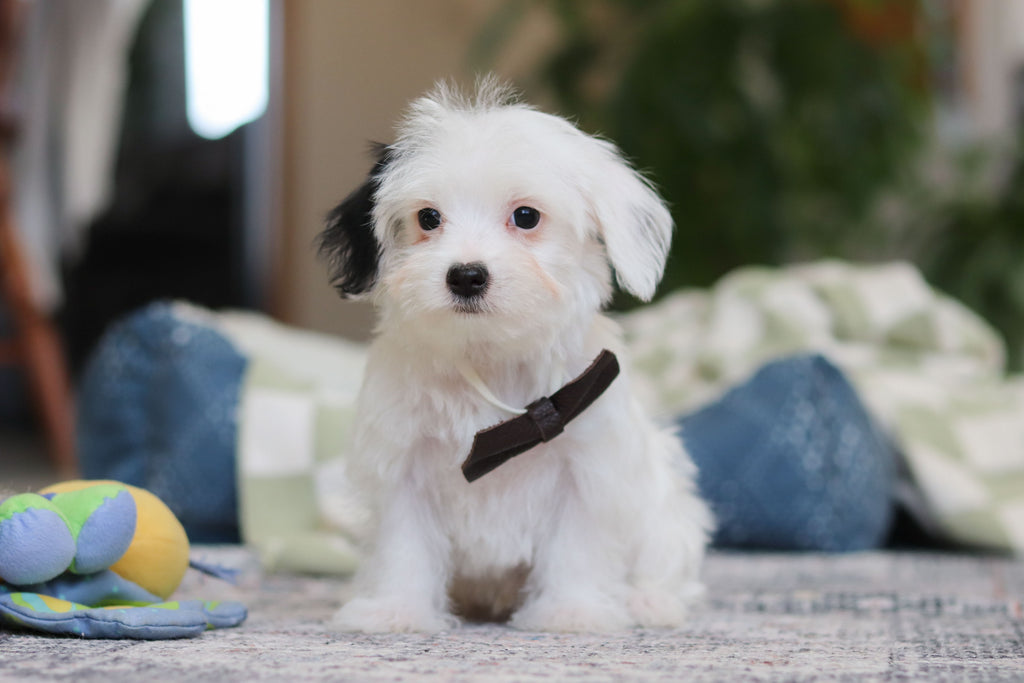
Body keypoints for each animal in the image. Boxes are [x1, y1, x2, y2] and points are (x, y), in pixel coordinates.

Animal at [318, 78, 711, 633]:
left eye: (525, 217)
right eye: (428, 218)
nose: (466, 275)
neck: (490, 355)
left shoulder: (586, 468)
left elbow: (576, 545)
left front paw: (572, 611)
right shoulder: (403, 465)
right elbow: (404, 545)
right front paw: (397, 610)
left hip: (664, 513)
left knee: (665, 564)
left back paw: (647, 601)